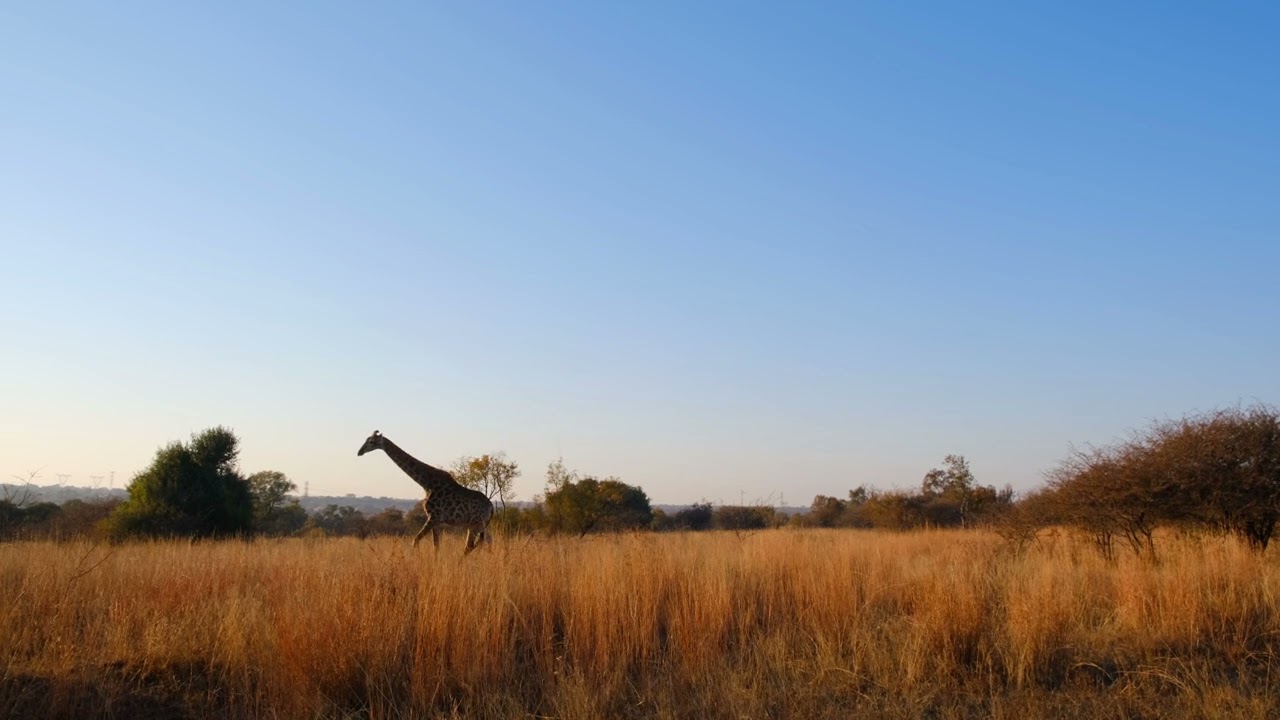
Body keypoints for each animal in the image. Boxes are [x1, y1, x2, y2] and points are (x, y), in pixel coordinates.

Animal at [357, 430, 493, 554]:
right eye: (367, 439)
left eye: (371, 441)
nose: (359, 452)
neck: (426, 483)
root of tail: (491, 507)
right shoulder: (436, 521)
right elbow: (436, 546)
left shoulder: (433, 517)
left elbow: (415, 541)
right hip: (479, 525)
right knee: (487, 541)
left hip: (475, 523)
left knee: (469, 546)